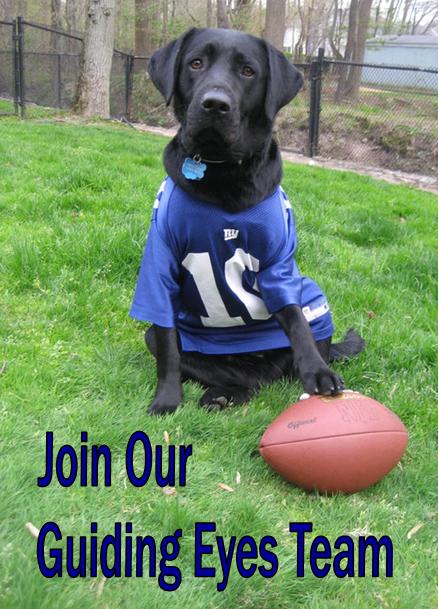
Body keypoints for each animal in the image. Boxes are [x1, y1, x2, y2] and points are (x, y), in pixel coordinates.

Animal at [132, 28, 366, 414]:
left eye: (248, 71)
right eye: (196, 63)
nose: (215, 104)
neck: (222, 172)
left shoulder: (279, 264)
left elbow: (295, 318)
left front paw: (318, 372)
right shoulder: (159, 264)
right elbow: (167, 346)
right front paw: (166, 399)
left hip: (314, 296)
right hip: (170, 342)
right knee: (242, 378)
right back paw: (223, 393)